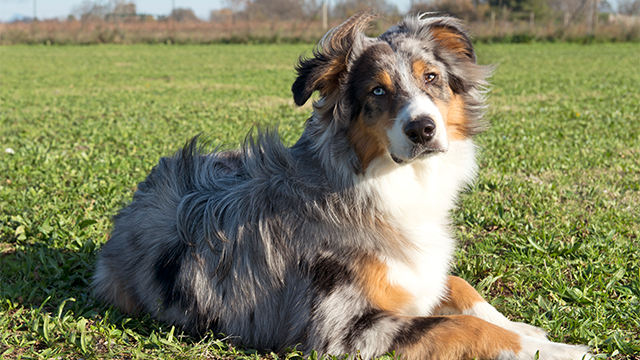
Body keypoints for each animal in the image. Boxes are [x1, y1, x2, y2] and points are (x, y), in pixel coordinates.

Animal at [94, 11, 592, 360]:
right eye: (377, 91)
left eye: (431, 77)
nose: (423, 129)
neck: (386, 184)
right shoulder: (343, 329)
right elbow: (461, 327)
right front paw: (561, 349)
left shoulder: (417, 273)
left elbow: (459, 286)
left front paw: (524, 328)